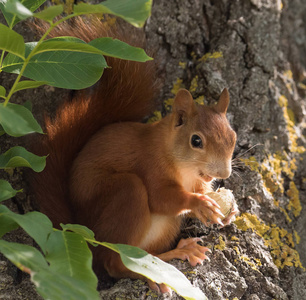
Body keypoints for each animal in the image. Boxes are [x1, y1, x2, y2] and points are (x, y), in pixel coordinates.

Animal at [30, 17, 237, 292]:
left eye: (233, 137)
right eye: (196, 141)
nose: (224, 173)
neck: (183, 167)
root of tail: (83, 233)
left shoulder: (197, 181)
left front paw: (228, 209)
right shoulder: (150, 165)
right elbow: (162, 199)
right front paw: (200, 203)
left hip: (165, 226)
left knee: (140, 257)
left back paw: (179, 252)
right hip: (126, 194)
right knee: (114, 264)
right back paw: (154, 275)